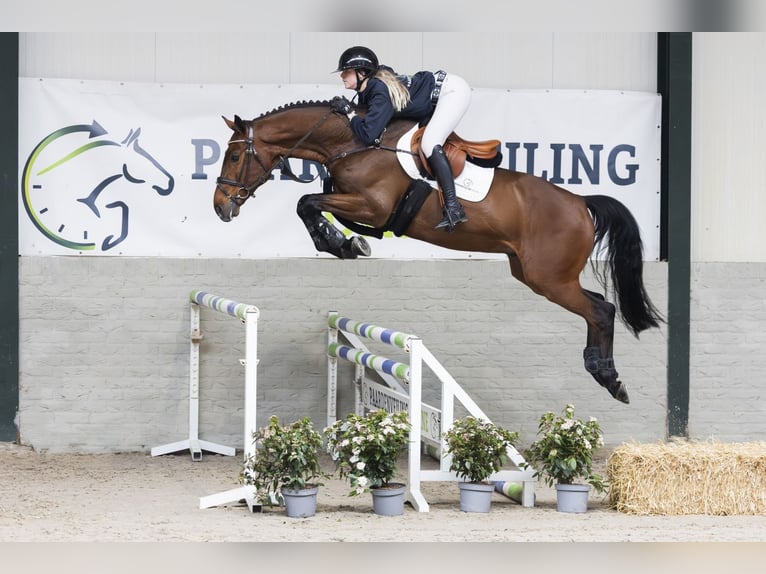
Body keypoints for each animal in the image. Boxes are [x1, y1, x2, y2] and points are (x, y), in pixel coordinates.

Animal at [213, 101, 663, 404]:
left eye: (234, 155)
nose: (220, 207)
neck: (353, 143)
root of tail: (581, 203)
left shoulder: (372, 206)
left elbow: (306, 201)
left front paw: (341, 242)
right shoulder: (353, 202)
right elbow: (311, 203)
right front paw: (346, 242)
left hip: (550, 278)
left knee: (601, 310)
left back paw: (609, 378)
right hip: (534, 274)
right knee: (600, 304)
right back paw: (601, 371)